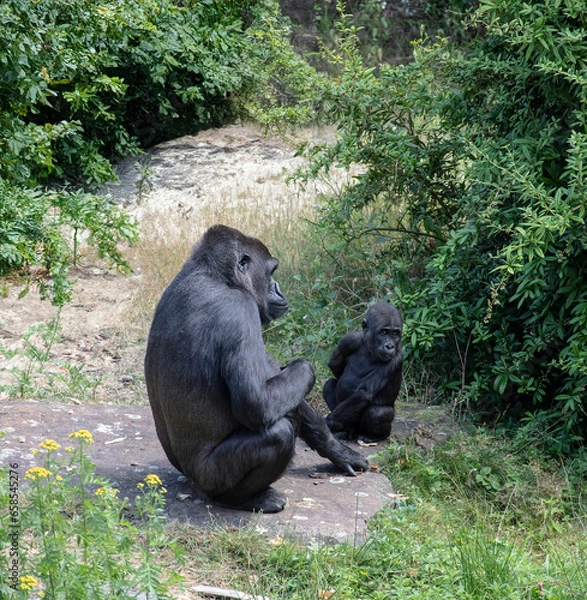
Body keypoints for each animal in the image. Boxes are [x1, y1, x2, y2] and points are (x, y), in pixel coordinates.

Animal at [145, 225, 368, 510]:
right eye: (271, 271)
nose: (279, 288)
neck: (215, 276)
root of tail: (192, 481)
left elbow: (279, 388)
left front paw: (338, 451)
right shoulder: (240, 310)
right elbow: (257, 402)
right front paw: (306, 368)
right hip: (210, 478)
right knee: (278, 433)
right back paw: (243, 498)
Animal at [324, 302, 402, 442]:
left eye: (395, 334)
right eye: (384, 332)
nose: (390, 346)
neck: (370, 348)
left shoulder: (397, 358)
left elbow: (364, 393)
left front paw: (327, 423)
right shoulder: (349, 339)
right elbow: (334, 364)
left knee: (376, 412)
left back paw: (375, 436)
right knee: (329, 384)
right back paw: (344, 431)